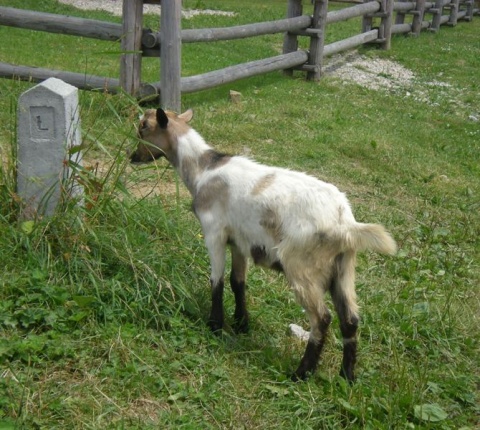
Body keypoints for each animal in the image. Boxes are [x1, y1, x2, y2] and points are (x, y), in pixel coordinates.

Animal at [129, 108, 396, 382]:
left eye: (143, 129)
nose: (132, 157)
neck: (203, 169)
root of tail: (345, 221)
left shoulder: (214, 232)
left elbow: (217, 280)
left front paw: (215, 325)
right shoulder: (239, 241)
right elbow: (237, 282)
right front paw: (241, 323)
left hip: (302, 267)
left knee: (322, 318)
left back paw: (301, 373)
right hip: (343, 268)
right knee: (350, 319)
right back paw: (347, 376)